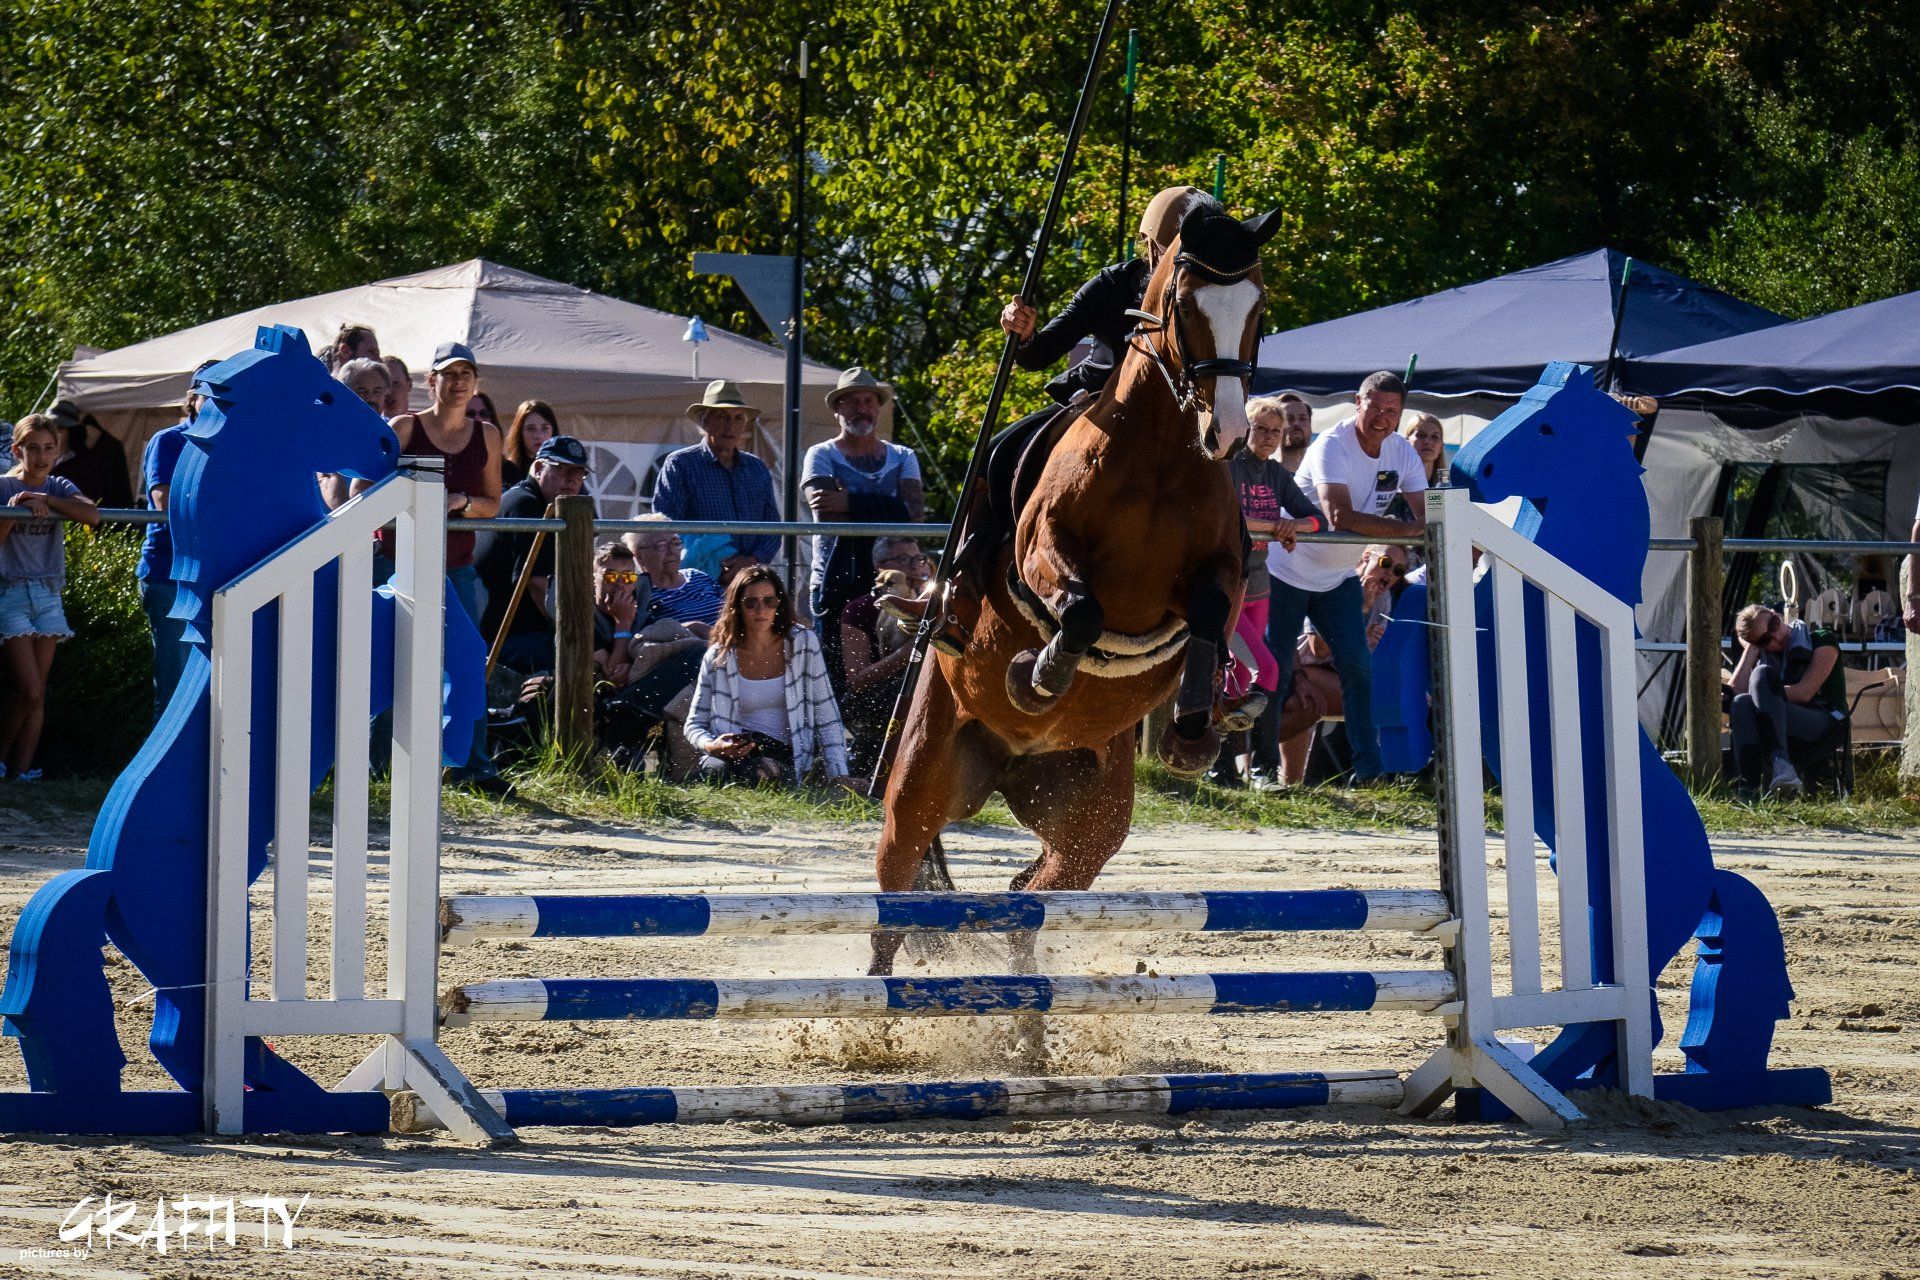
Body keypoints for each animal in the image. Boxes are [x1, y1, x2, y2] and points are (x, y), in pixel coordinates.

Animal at [0, 325, 487, 1133]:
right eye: (325, 395)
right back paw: (306, 1101)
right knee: (188, 1037)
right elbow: (452, 619)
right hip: (203, 936)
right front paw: (455, 731)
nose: (390, 444)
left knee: (179, 1041)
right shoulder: (376, 630)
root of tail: (103, 880)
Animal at [870, 204, 1281, 976]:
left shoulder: (1217, 570)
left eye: (1257, 307)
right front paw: (1039, 677)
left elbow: (1209, 616)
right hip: (923, 781)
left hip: (1090, 817)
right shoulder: (1045, 551)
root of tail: (1010, 762)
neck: (1160, 457)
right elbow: (1080, 609)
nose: (1229, 432)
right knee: (896, 893)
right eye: (1185, 305)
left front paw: (1193, 730)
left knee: (1029, 894)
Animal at [1369, 362, 1824, 1110]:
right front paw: (1399, 734)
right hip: (1593, 908)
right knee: (1635, 1021)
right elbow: (1408, 606)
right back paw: (1590, 1081)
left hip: (1634, 919)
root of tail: (1708, 877)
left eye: (1550, 427)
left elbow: (1417, 616)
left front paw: (1403, 738)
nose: (1467, 468)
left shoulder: (1498, 631)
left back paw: (1537, 1085)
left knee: (1635, 1014)